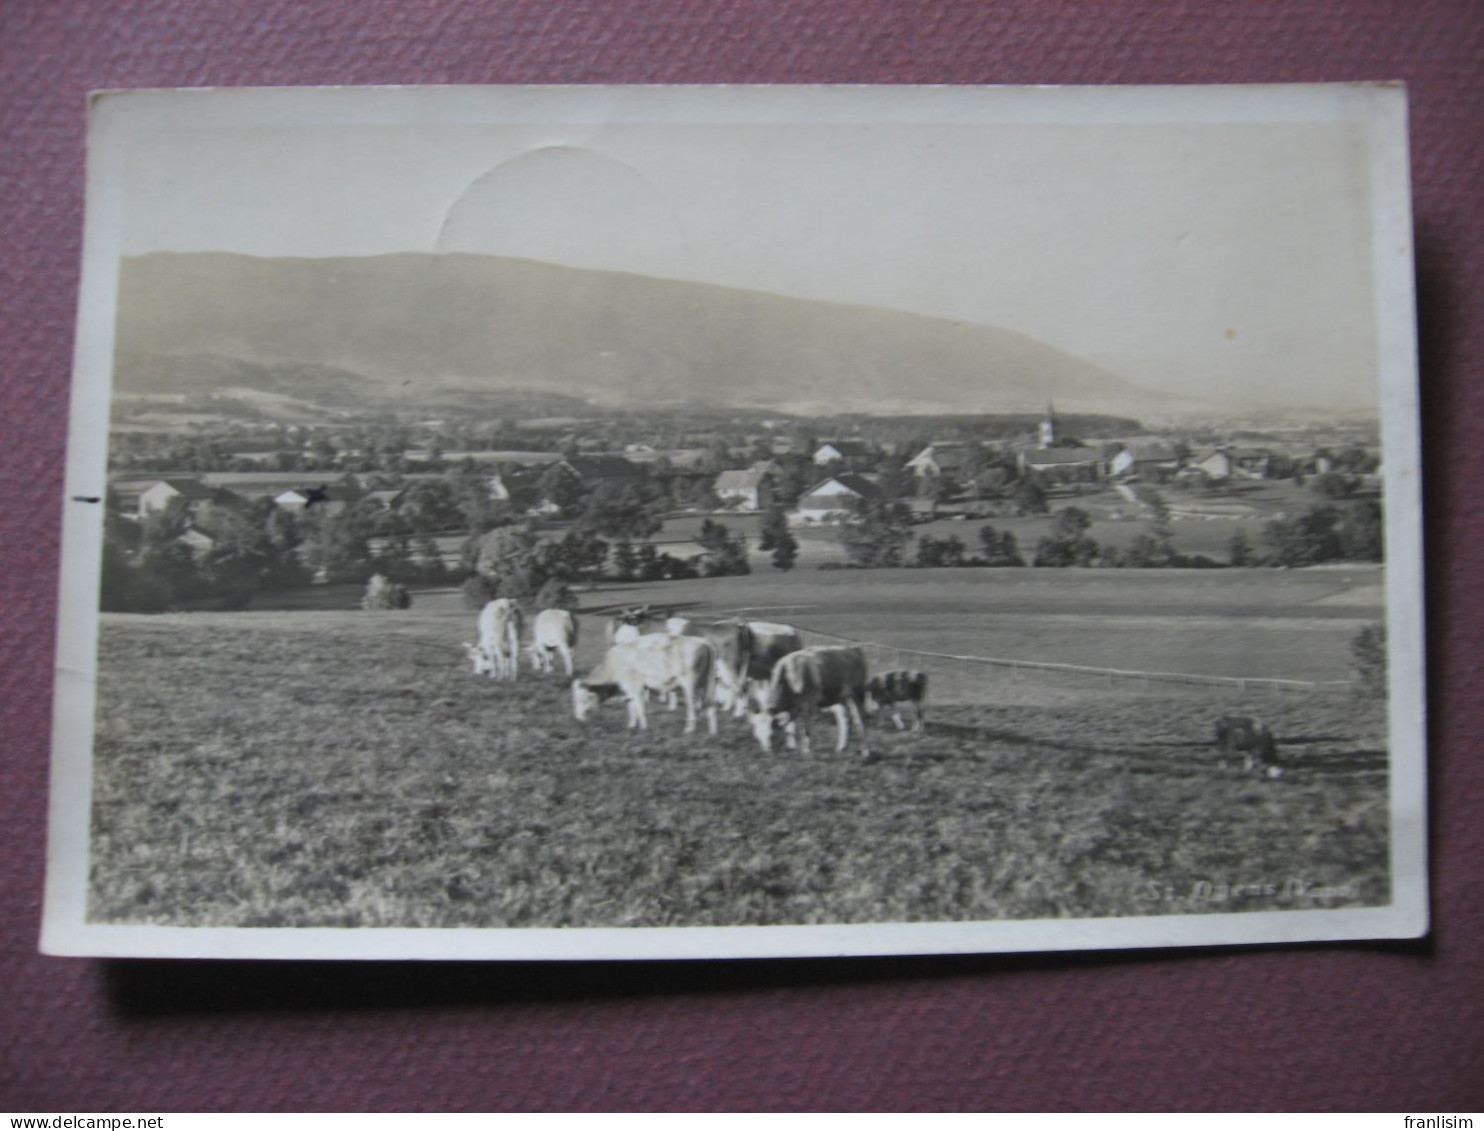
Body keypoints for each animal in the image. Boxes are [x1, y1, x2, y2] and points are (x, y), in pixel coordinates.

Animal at [566, 629, 718, 736]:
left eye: (581, 699)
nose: (578, 718)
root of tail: (703, 642)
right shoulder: (629, 690)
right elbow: (632, 707)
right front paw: (631, 726)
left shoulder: (634, 687)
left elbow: (639, 708)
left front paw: (644, 728)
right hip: (706, 685)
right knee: (710, 706)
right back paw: (712, 733)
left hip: (689, 685)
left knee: (692, 707)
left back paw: (689, 729)